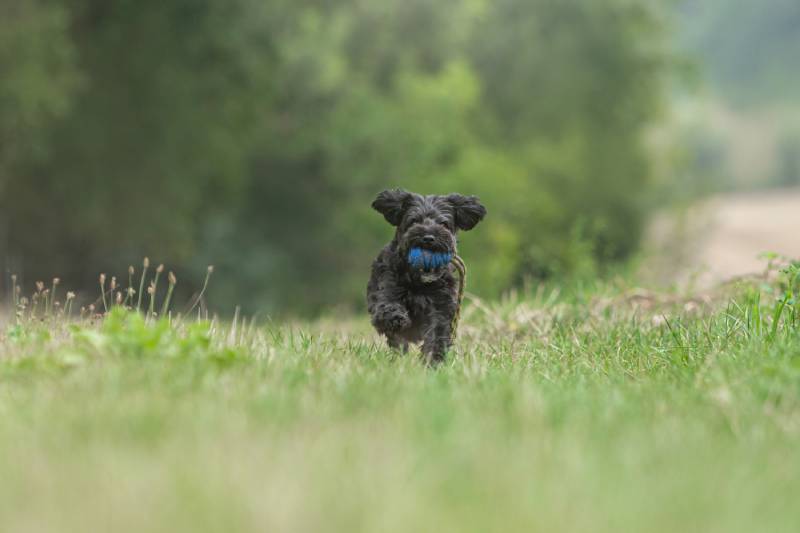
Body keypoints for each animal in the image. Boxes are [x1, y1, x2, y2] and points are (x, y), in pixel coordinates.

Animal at [368, 189, 488, 364]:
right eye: (414, 221)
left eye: (443, 223)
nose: (428, 237)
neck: (419, 282)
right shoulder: (387, 289)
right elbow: (387, 307)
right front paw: (395, 317)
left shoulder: (441, 307)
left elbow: (437, 334)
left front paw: (433, 360)